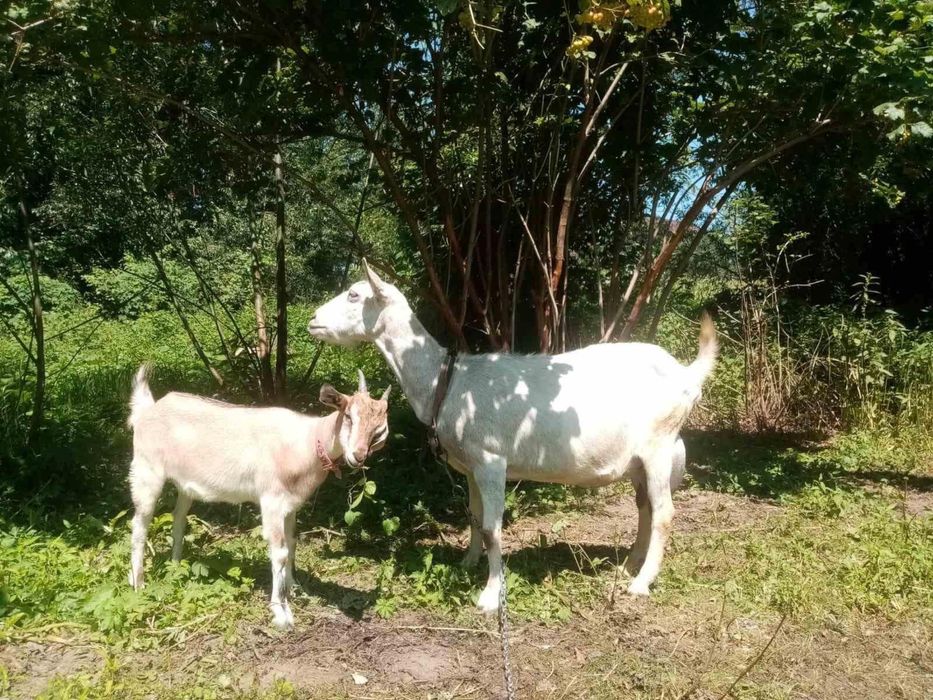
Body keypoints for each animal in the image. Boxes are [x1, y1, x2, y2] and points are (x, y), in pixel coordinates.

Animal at [126, 366, 390, 628]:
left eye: (378, 432)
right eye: (349, 416)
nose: (358, 456)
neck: (305, 441)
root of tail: (148, 410)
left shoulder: (291, 505)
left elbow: (292, 542)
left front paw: (292, 587)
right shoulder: (271, 501)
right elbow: (280, 552)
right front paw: (280, 612)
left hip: (185, 485)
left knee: (178, 518)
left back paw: (176, 566)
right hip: (147, 471)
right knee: (140, 524)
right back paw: (139, 583)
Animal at [307, 260, 716, 612]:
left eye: (355, 295)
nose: (312, 320)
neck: (447, 382)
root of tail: (686, 374)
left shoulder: (491, 461)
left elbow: (492, 527)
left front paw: (490, 596)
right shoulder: (471, 466)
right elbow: (474, 517)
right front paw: (467, 562)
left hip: (659, 445)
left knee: (664, 513)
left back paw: (641, 582)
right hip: (639, 461)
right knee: (645, 508)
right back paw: (628, 565)